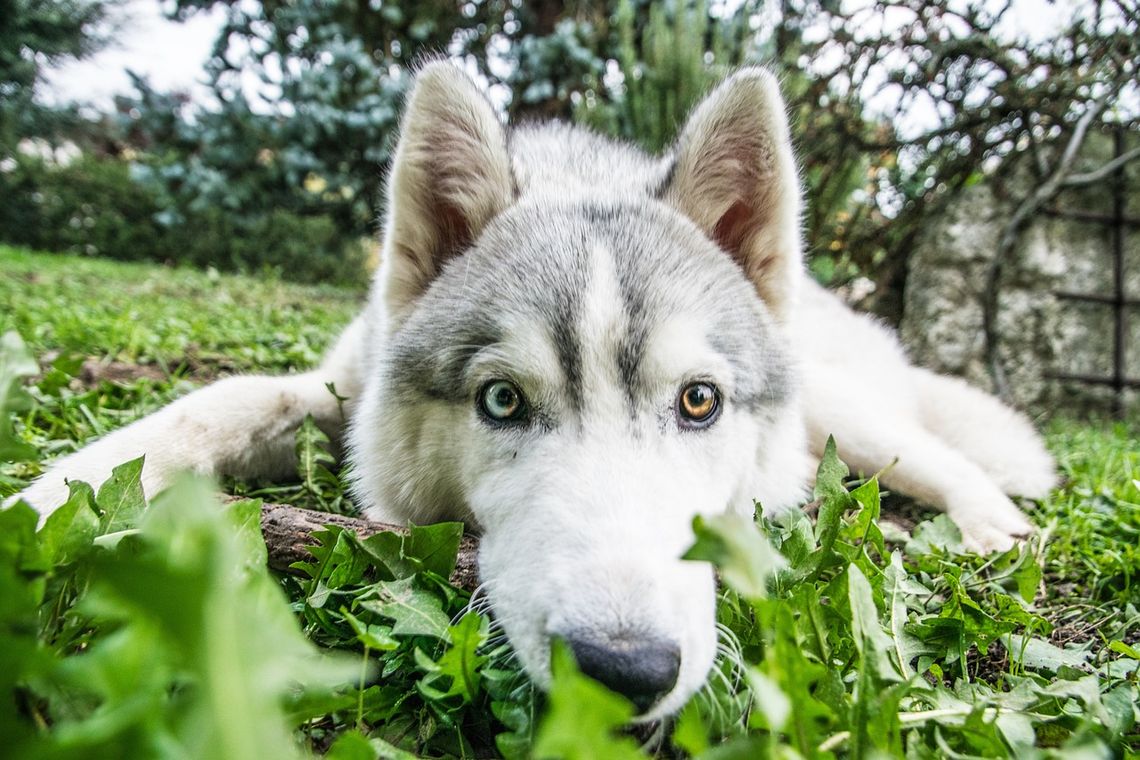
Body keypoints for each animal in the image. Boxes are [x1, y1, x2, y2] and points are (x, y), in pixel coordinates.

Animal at [13, 60, 1053, 720]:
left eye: (700, 402)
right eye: (502, 402)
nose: (624, 670)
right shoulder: (337, 388)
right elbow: (216, 400)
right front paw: (48, 498)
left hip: (847, 414)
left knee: (944, 456)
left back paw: (991, 529)